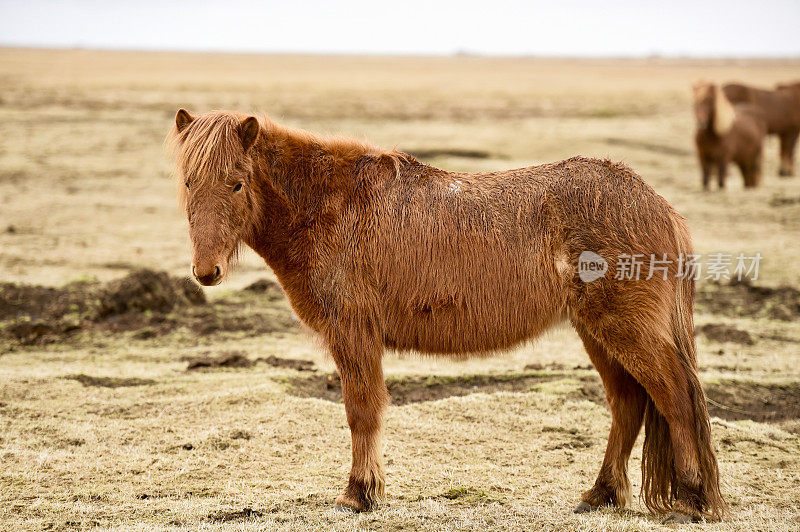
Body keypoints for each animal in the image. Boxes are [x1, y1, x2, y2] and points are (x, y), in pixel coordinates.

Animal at [167, 108, 724, 524]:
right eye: (189, 183)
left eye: (237, 184)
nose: (206, 271)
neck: (330, 205)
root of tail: (659, 206)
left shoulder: (354, 335)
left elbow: (361, 412)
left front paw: (358, 494)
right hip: (597, 332)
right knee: (629, 404)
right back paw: (601, 495)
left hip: (624, 329)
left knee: (674, 396)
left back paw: (691, 499)